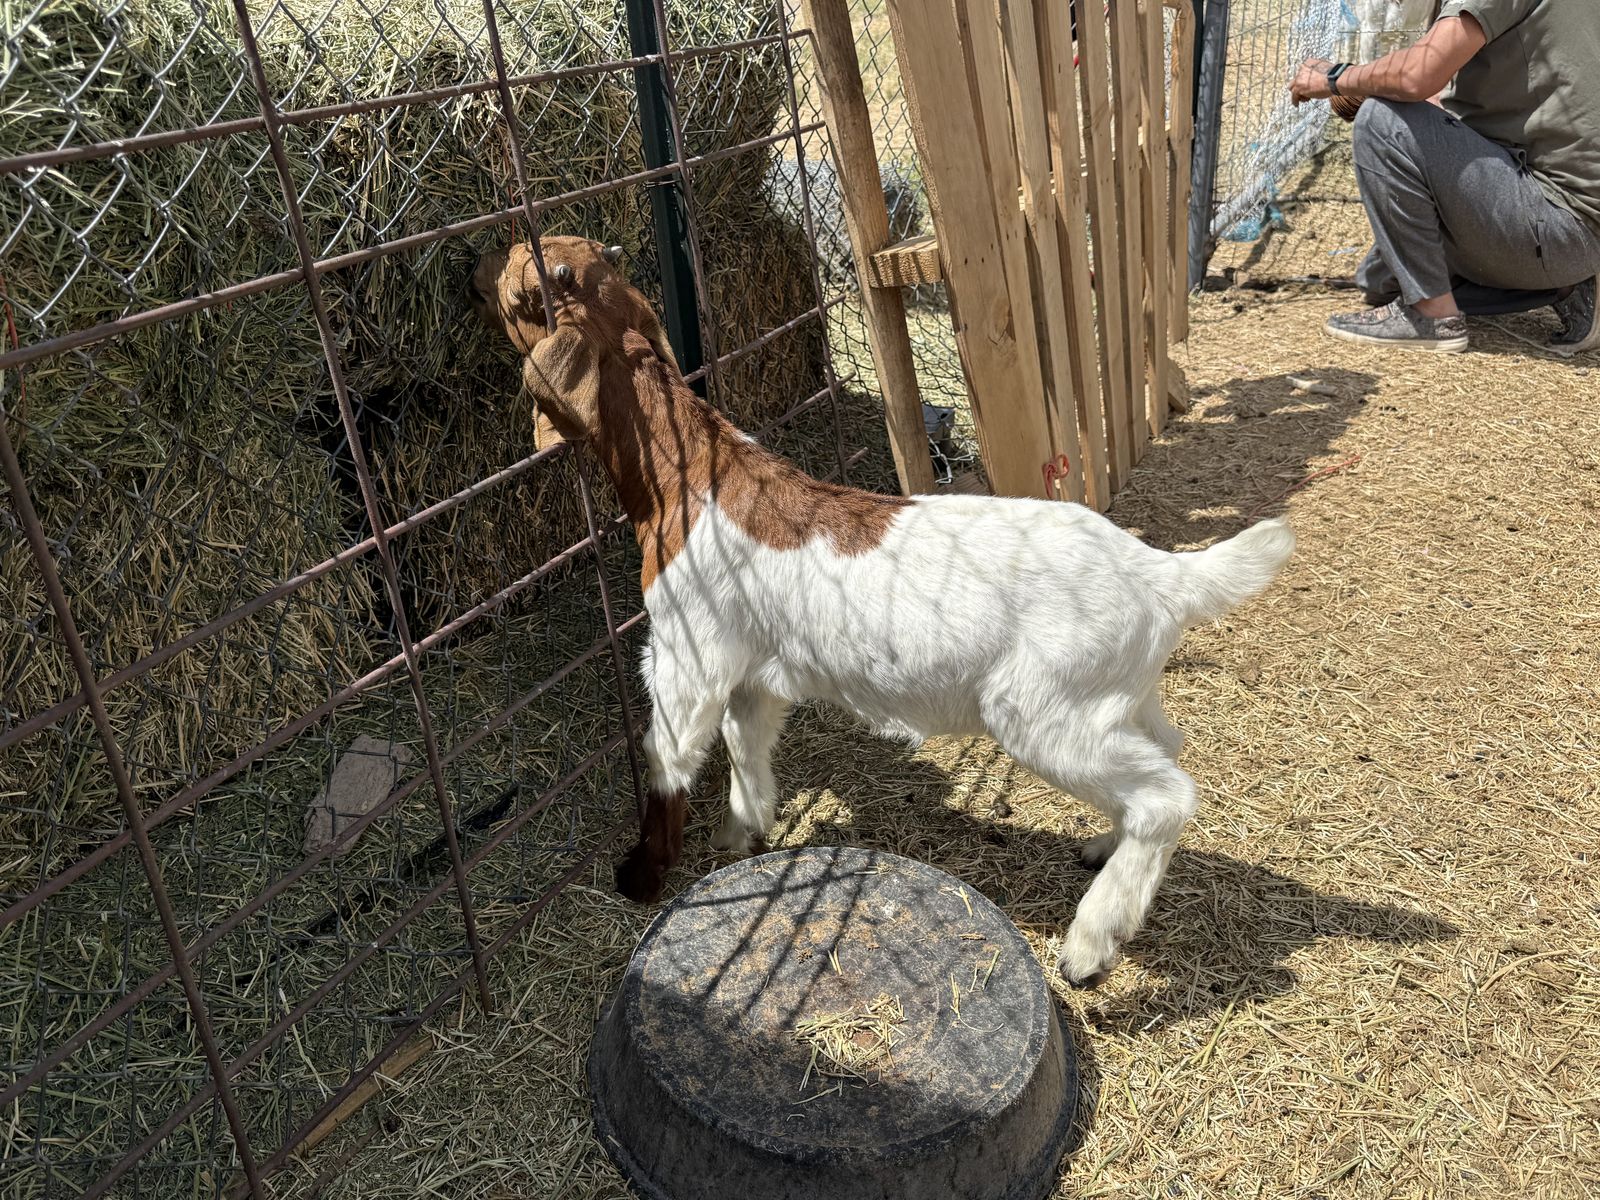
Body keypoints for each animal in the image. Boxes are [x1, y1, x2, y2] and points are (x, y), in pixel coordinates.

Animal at [468, 237, 1296, 988]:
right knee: (1167, 748)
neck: (691, 474)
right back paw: (1101, 844)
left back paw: (1092, 942)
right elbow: (747, 750)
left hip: (1043, 709)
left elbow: (668, 761)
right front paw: (744, 833)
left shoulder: (685, 656)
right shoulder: (755, 676)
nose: (477, 267)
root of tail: (1162, 573)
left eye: (521, 290)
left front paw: (641, 876)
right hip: (1117, 695)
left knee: (1166, 797)